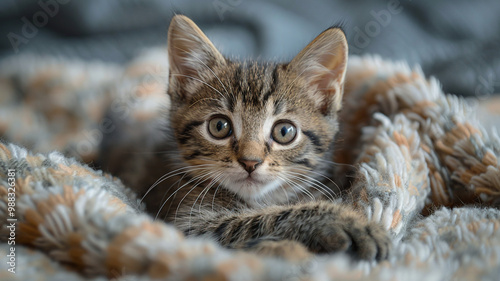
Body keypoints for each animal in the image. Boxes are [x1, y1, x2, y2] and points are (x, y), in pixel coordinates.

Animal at [138, 15, 390, 260]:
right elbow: (262, 218)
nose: (250, 162)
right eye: (219, 126)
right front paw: (342, 221)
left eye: (284, 132)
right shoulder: (190, 226)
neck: (261, 201)